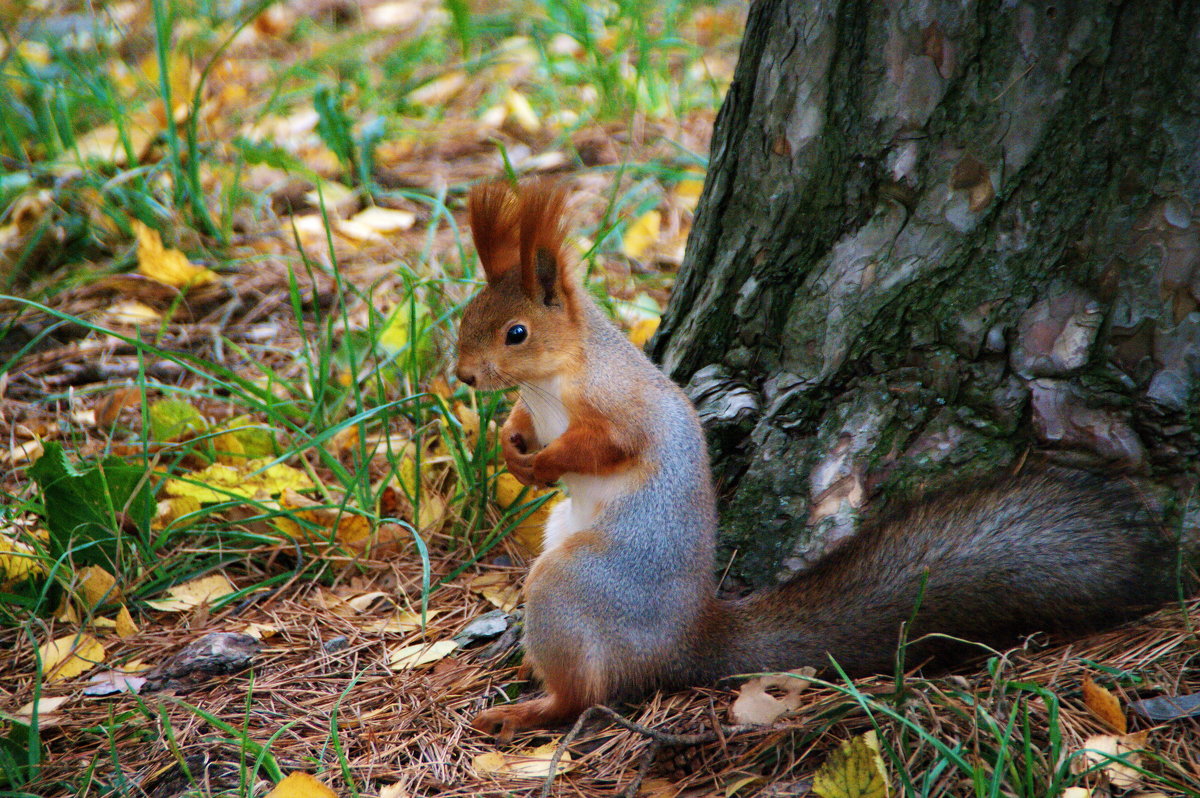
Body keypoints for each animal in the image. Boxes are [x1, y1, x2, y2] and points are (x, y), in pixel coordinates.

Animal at [453, 177, 1185, 739]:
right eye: (465, 317)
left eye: (516, 333)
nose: (461, 375)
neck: (552, 381)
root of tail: (686, 641)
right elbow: (524, 424)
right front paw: (510, 443)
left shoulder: (619, 406)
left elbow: (606, 446)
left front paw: (541, 463)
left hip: (574, 586)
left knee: (586, 694)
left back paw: (526, 710)